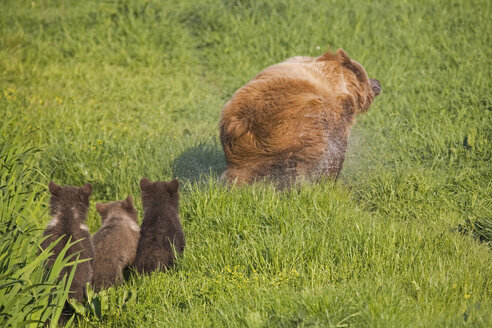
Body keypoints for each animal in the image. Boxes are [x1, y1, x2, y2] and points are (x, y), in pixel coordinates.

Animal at [219, 48, 380, 187]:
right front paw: (329, 177)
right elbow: (336, 149)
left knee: (240, 173)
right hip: (293, 127)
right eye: (367, 77)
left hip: (241, 150)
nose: (377, 83)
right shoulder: (335, 114)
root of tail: (243, 122)